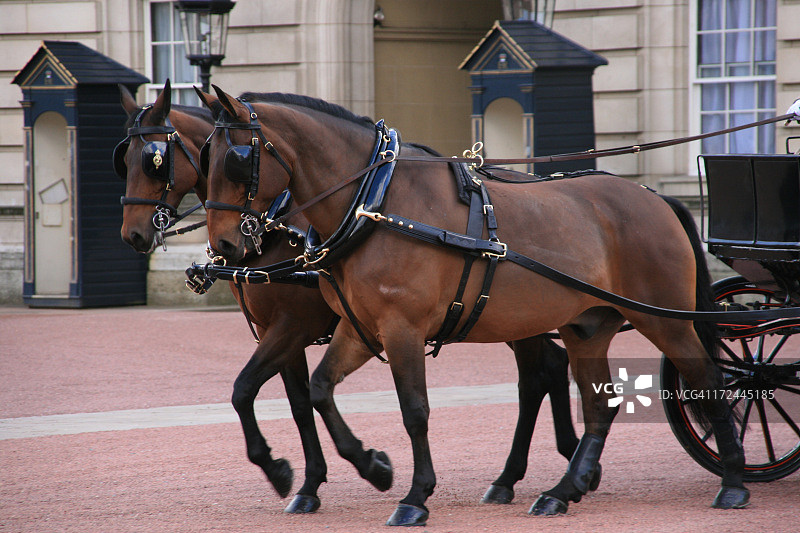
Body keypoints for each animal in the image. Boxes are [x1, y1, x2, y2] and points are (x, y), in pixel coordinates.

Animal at [115, 81, 580, 512]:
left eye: (154, 161)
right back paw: (547, 463)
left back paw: (534, 470)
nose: (132, 235)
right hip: (513, 316)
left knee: (535, 379)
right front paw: (305, 482)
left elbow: (247, 389)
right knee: (551, 369)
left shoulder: (294, 326)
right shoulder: (280, 332)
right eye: (125, 160)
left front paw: (316, 470)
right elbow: (295, 402)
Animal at [198, 85, 752, 524]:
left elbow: (414, 410)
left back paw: (733, 482)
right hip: (587, 328)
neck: (374, 203)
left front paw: (414, 496)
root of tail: (654, 197)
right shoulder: (358, 329)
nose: (224, 246)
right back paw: (562, 490)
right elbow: (317, 391)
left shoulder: (399, 329)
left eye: (236, 159)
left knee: (708, 380)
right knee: (598, 404)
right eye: (203, 159)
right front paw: (373, 466)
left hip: (664, 319)